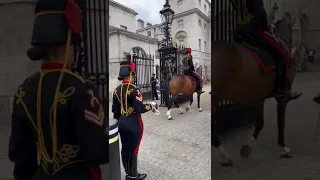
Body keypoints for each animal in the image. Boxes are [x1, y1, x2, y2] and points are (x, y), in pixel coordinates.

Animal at [211, 19, 296, 166]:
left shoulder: (258, 98)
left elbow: (260, 122)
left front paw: (247, 147)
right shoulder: (281, 98)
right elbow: (280, 122)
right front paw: (283, 147)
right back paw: (224, 155)